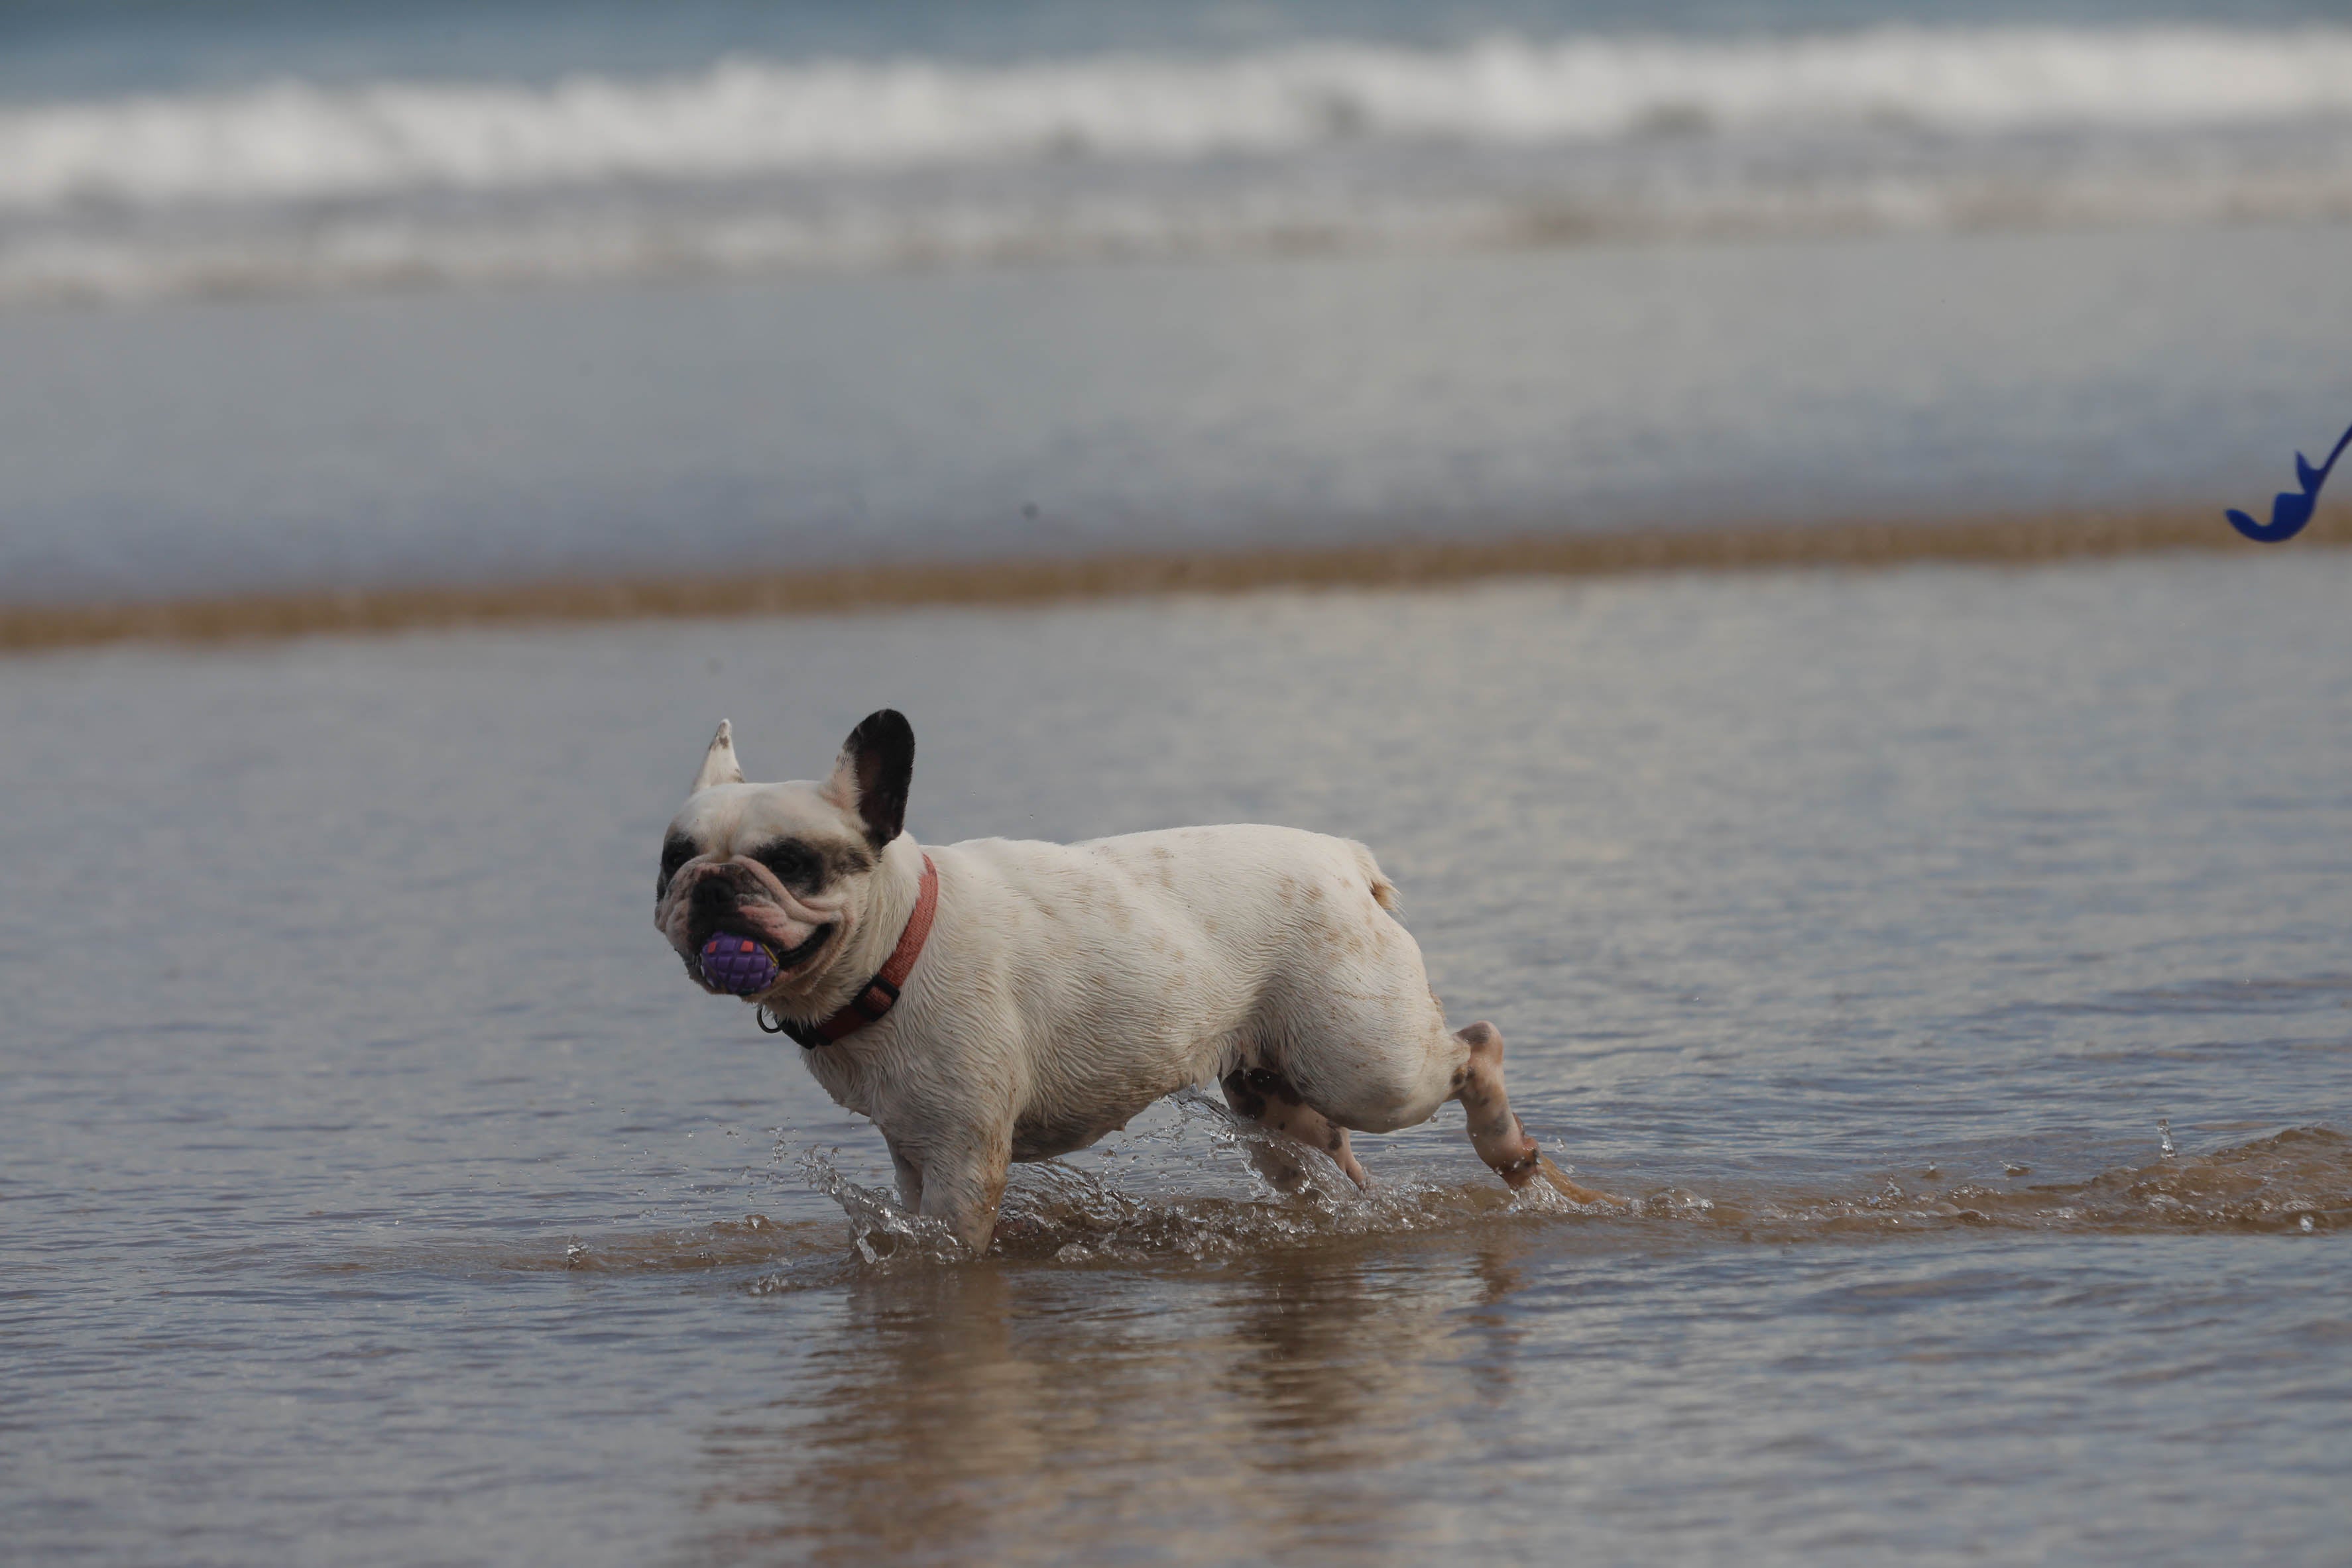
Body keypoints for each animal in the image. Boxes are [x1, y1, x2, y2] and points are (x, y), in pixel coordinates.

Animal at [663, 719, 1618, 1260]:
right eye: (673, 856)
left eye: (790, 861)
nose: (711, 882)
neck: (899, 939)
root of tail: (1345, 861)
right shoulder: (912, 1145)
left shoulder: (966, 1157)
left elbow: (950, 1242)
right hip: (1274, 1105)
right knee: (1329, 1166)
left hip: (1367, 1064)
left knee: (1474, 1048)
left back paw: (1507, 1147)